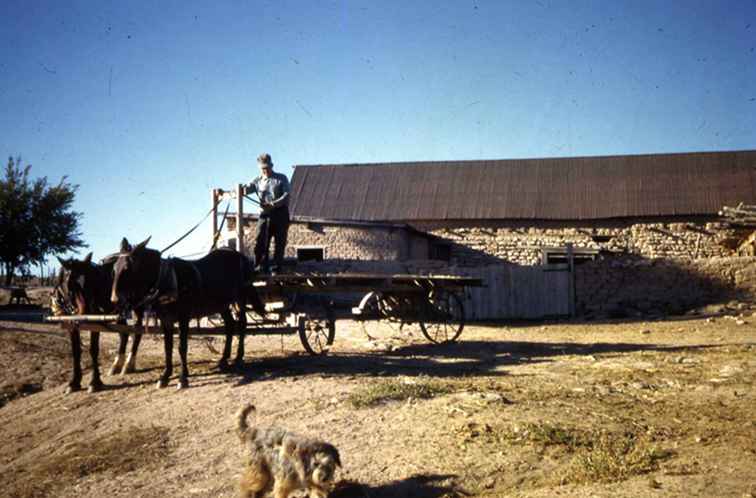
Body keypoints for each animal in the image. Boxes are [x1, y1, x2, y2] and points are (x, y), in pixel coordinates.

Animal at [54, 253, 144, 392]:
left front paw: (94, 382)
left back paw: (129, 364)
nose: (86, 314)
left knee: (138, 331)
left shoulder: (95, 324)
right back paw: (116, 365)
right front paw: (74, 382)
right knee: (124, 334)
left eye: (90, 281)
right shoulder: (71, 325)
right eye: (70, 283)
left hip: (138, 308)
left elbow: (93, 350)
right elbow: (75, 351)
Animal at [110, 236, 264, 390]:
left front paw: (183, 378)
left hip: (240, 298)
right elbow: (168, 348)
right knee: (230, 325)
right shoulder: (166, 320)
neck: (167, 280)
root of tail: (239, 255)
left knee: (242, 323)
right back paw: (224, 359)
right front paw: (165, 376)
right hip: (222, 304)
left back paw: (238, 357)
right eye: (114, 268)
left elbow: (181, 347)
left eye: (127, 268)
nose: (114, 300)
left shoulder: (184, 317)